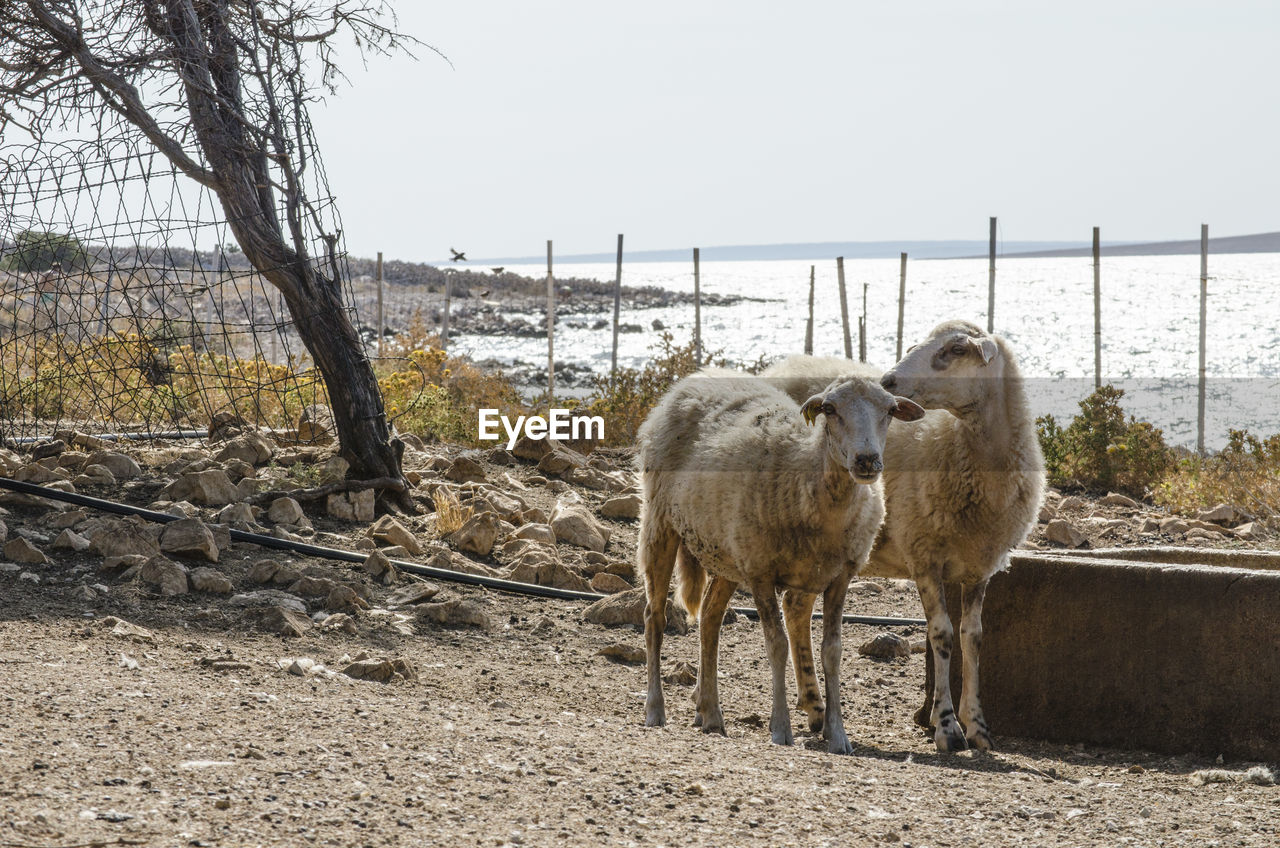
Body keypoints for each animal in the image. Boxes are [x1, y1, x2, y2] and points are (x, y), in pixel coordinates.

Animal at [637, 368, 921, 753]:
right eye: (829, 409)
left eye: (890, 410)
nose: (866, 461)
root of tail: (691, 380)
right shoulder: (760, 572)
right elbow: (777, 645)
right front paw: (781, 728)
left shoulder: (839, 577)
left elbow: (832, 650)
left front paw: (837, 733)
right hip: (661, 523)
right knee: (655, 618)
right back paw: (656, 709)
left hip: (726, 551)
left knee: (710, 618)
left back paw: (711, 713)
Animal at [762, 322, 1044, 753]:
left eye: (956, 348)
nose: (888, 381)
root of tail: (782, 365)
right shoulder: (924, 555)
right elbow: (941, 635)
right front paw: (947, 727)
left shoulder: (979, 566)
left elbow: (973, 637)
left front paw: (977, 725)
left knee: (795, 607)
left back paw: (814, 708)